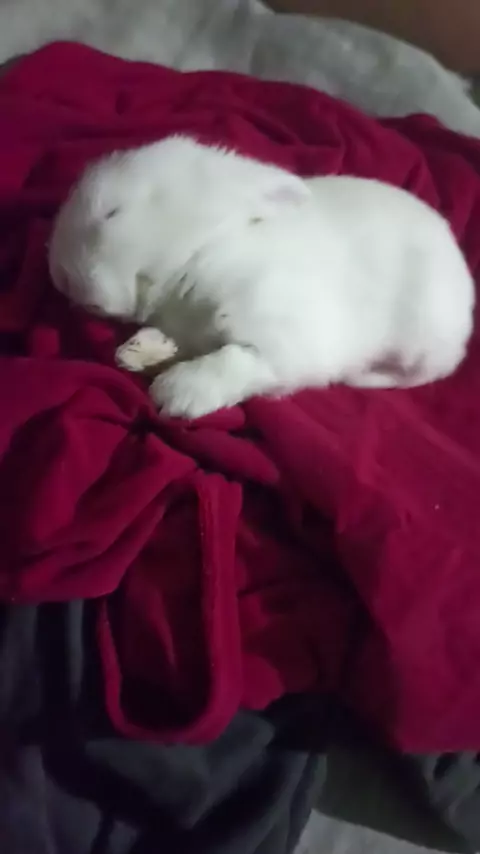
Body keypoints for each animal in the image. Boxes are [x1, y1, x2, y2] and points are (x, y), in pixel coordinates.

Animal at [49, 134, 475, 418]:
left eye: (112, 213)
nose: (58, 276)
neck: (202, 249)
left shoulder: (283, 339)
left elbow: (238, 362)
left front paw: (175, 393)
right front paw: (139, 351)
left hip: (421, 344)